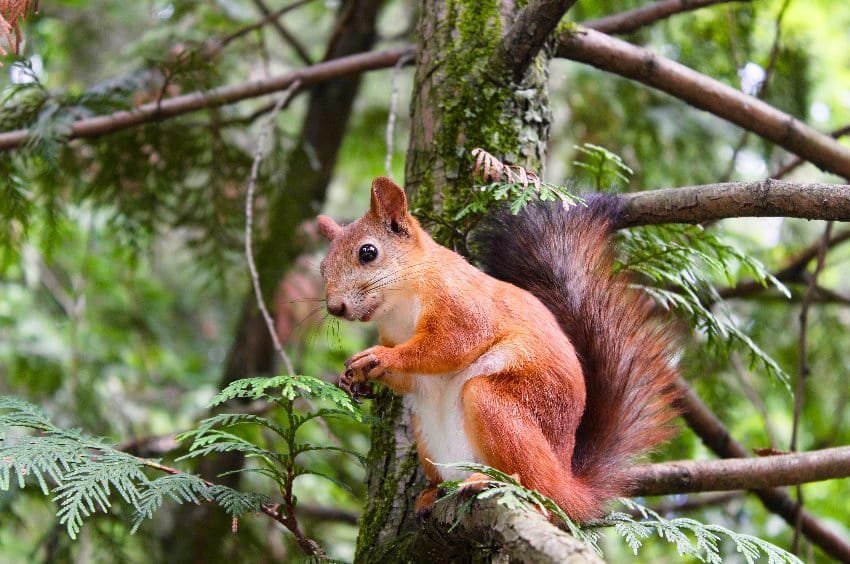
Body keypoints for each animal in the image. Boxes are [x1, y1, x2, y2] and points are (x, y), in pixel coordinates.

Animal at [314, 177, 680, 524]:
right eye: (322, 268)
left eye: (368, 252)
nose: (335, 307)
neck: (400, 305)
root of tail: (569, 484)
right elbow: (412, 379)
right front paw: (355, 378)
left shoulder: (461, 305)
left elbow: (449, 345)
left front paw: (380, 358)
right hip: (426, 435)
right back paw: (432, 493)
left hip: (498, 406)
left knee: (537, 487)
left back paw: (495, 482)